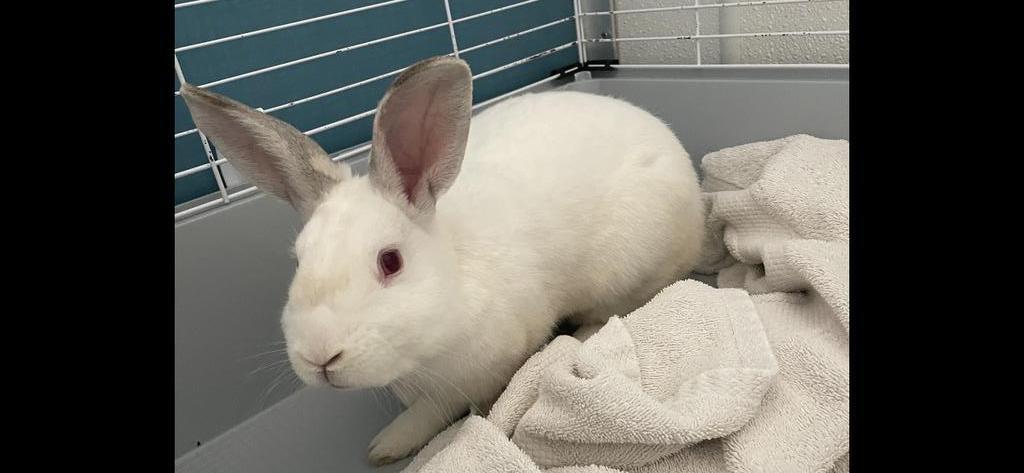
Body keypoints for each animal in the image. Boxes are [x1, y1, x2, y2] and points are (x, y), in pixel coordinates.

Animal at [179, 56, 704, 465]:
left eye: (390, 262)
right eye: (297, 262)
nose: (320, 357)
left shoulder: (482, 371)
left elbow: (455, 409)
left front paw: (403, 444)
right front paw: (388, 444)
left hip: (629, 271)